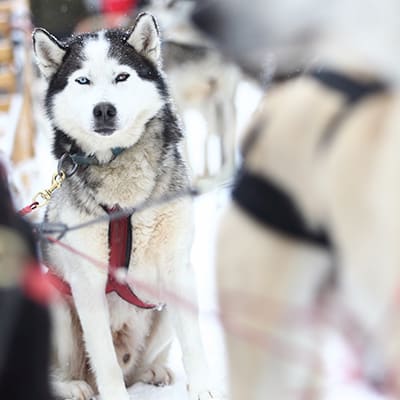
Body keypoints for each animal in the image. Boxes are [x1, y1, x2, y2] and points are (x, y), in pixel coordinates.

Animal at [32, 10, 217, 400]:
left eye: (122, 76)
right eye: (83, 80)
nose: (104, 109)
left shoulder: (178, 268)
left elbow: (193, 342)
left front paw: (204, 388)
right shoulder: (87, 282)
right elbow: (104, 359)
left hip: (163, 311)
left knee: (139, 365)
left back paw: (154, 371)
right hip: (56, 302)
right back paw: (72, 386)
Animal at [138, 0, 238, 177]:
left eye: (171, 4)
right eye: (150, 3)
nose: (156, 23)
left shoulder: (224, 96)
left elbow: (225, 137)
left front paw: (227, 173)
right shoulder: (179, 103)